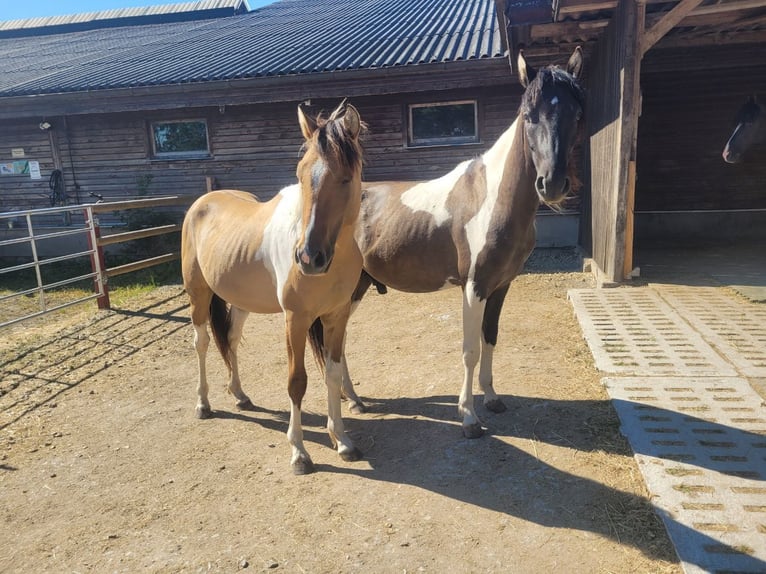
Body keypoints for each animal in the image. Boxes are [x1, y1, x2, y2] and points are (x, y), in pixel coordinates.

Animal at [184, 100, 368, 476]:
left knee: (231, 341)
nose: (309, 258)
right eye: (300, 175)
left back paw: (240, 395)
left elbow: (332, 373)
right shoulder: (295, 320)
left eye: (345, 177)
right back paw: (203, 403)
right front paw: (299, 453)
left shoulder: (336, 316)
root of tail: (202, 202)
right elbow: (296, 382)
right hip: (198, 295)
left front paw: (342, 440)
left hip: (240, 302)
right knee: (202, 342)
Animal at [330, 47, 588, 438]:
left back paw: (354, 399)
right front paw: (468, 417)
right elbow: (470, 350)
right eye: (529, 116)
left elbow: (490, 338)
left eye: (575, 114)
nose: (553, 184)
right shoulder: (474, 286)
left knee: (340, 338)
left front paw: (492, 398)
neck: (491, 198)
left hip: (358, 287)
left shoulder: (500, 286)